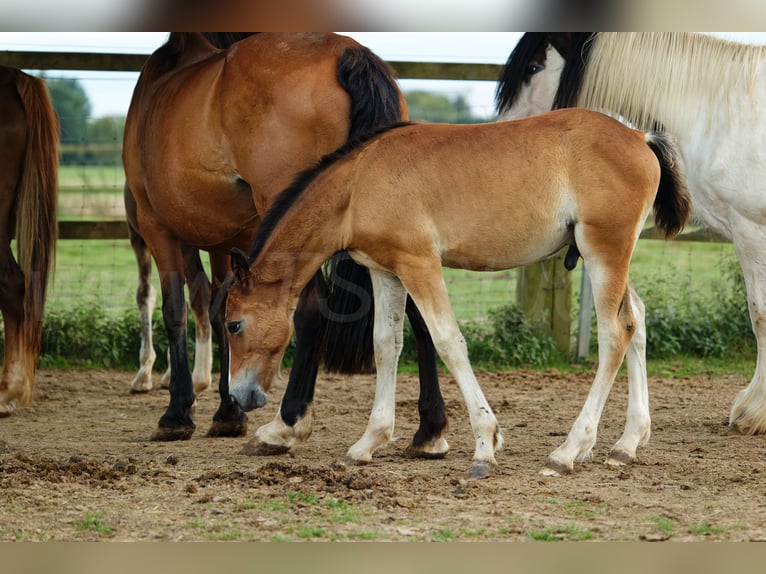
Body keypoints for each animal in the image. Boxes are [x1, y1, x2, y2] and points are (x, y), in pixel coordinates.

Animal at [122, 32, 449, 457]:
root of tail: (348, 55)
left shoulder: (157, 226)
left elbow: (176, 309)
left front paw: (178, 413)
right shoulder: (229, 240)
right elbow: (219, 306)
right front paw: (227, 411)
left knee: (310, 310)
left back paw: (287, 422)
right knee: (419, 310)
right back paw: (430, 430)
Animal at [223, 109, 691, 477]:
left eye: (233, 324)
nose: (240, 396)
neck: (359, 184)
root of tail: (640, 137)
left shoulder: (419, 263)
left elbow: (448, 342)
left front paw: (486, 446)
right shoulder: (384, 271)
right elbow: (385, 345)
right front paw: (367, 443)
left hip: (603, 251)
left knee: (615, 334)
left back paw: (568, 451)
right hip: (609, 257)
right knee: (637, 319)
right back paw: (627, 444)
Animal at [496, 32, 766, 436]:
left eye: (533, 67)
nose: (500, 129)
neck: (723, 111)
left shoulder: (752, 230)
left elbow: (759, 315)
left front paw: (754, 411)